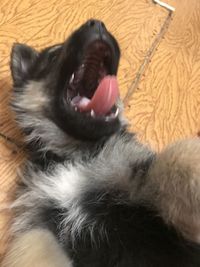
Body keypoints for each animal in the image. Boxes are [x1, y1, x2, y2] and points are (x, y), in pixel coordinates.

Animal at [1, 19, 200, 267]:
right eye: (54, 55)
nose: (97, 24)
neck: (76, 154)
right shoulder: (40, 218)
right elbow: (32, 242)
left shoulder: (140, 179)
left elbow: (178, 158)